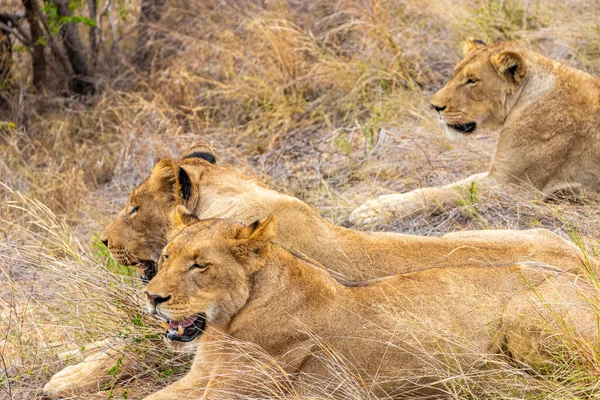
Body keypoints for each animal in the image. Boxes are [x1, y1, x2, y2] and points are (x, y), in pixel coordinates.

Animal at [141, 208, 596, 398]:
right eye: (164, 257)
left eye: (199, 265)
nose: (151, 296)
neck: (224, 328)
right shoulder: (199, 380)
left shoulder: (238, 391)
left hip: (525, 313)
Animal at [350, 39, 600, 228]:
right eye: (454, 74)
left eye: (472, 80)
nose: (434, 106)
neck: (525, 97)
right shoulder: (497, 174)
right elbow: (448, 186)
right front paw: (381, 201)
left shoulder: (512, 188)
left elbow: (441, 194)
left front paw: (372, 212)